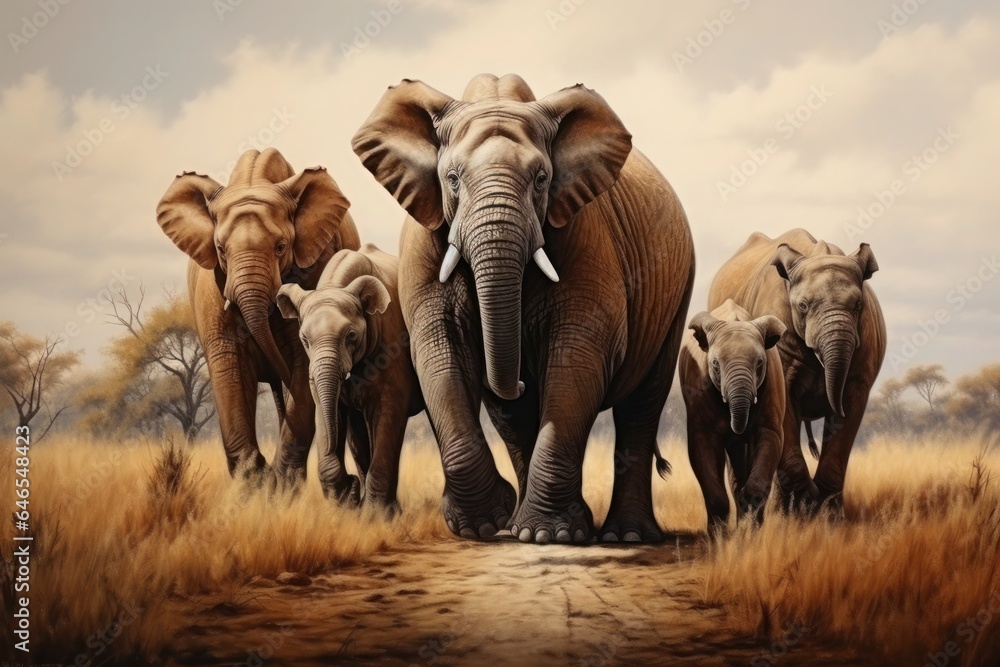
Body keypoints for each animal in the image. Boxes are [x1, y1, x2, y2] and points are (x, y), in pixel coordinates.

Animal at [156, 148, 360, 485]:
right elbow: (227, 362)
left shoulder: (316, 265)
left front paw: (281, 485)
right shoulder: (212, 285)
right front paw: (255, 484)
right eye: (220, 248)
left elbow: (302, 358)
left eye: (281, 247)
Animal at [276, 244, 423, 507]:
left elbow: (388, 410)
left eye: (351, 335)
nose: (351, 482)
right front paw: (350, 499)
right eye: (305, 339)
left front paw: (375, 513)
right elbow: (326, 412)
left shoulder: (392, 345)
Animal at [352, 73, 695, 543]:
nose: (516, 379)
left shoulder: (584, 230)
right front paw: (483, 524)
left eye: (542, 178)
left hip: (678, 291)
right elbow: (440, 353)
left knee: (641, 406)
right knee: (513, 421)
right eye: (451, 179)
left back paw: (624, 536)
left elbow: (577, 357)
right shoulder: (423, 243)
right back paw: (516, 524)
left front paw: (551, 537)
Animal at [679, 299, 786, 531]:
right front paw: (720, 537)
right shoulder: (698, 388)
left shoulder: (772, 385)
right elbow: (702, 446)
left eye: (760, 363)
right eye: (715, 365)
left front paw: (750, 533)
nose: (737, 429)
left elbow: (770, 437)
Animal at [708, 229, 886, 511]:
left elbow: (851, 406)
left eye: (858, 305)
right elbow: (784, 408)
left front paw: (828, 513)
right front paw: (804, 507)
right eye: (803, 306)